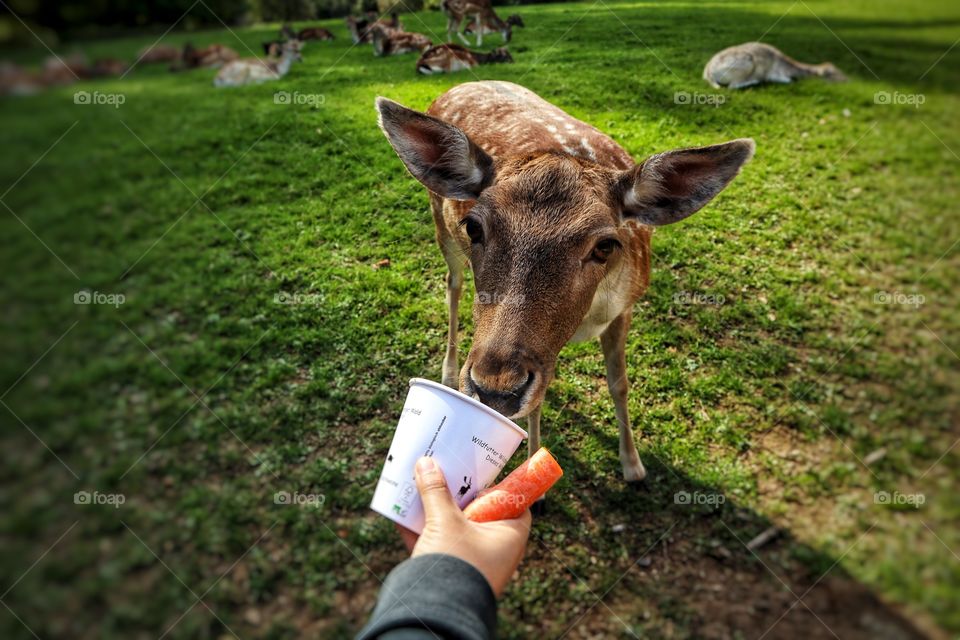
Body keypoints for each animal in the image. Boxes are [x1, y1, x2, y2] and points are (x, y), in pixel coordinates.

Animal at [375, 81, 754, 497]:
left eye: (605, 245)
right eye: (474, 226)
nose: (494, 390)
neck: (586, 319)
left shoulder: (626, 306)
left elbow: (619, 384)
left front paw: (633, 465)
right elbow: (538, 403)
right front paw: (536, 488)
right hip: (440, 226)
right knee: (452, 285)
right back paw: (447, 370)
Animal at [704, 42, 846, 89]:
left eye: (838, 68)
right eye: (830, 74)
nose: (847, 80)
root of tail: (708, 72)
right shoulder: (776, 75)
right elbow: (788, 81)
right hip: (747, 63)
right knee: (732, 86)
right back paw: (755, 81)